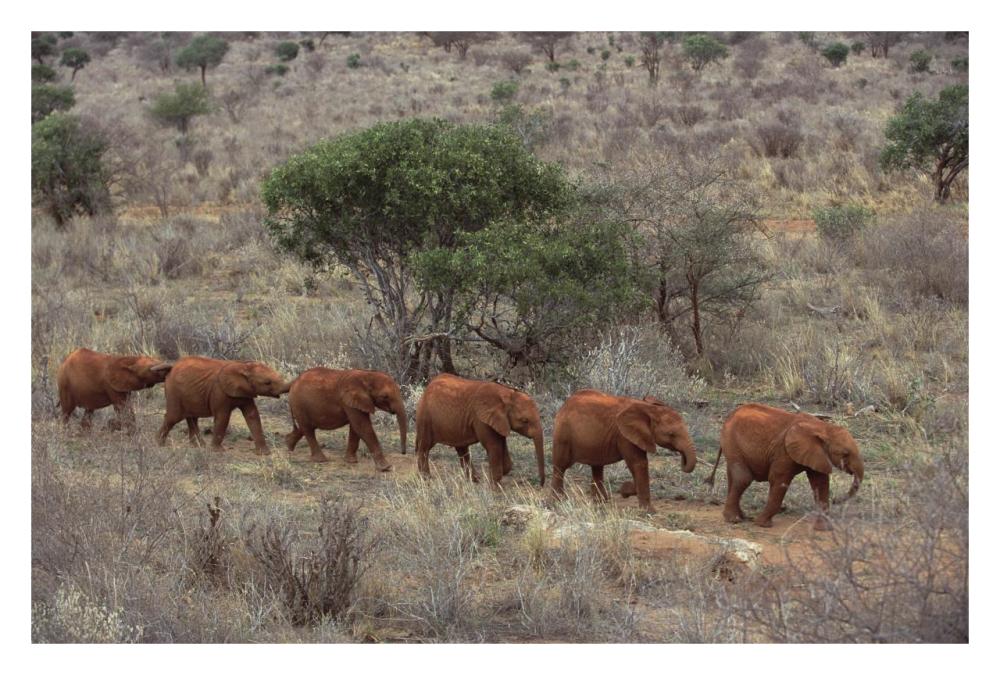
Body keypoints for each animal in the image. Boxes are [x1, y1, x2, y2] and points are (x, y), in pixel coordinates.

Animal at [156, 356, 290, 455]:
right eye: (267, 383)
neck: (243, 366)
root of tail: (172, 366)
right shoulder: (219, 391)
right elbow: (223, 417)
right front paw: (217, 451)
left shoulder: (246, 392)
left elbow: (253, 416)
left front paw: (264, 453)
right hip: (174, 391)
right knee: (173, 417)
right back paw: (159, 444)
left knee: (192, 418)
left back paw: (199, 446)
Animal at [415, 373, 545, 486]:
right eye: (525, 421)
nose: (541, 484)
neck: (507, 393)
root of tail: (427, 387)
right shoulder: (481, 420)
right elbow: (494, 446)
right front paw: (494, 487)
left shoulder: (499, 421)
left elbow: (502, 446)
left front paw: (499, 476)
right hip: (425, 417)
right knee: (424, 447)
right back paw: (426, 479)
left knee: (462, 449)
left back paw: (474, 480)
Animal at [551, 390, 698, 513]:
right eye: (671, 434)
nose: (682, 456)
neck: (648, 408)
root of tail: (565, 404)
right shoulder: (625, 436)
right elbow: (639, 464)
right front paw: (648, 511)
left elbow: (638, 465)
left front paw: (626, 490)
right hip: (563, 434)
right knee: (560, 466)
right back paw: (558, 502)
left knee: (597, 467)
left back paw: (601, 502)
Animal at [705, 403, 864, 531]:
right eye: (845, 454)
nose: (836, 500)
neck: (824, 427)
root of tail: (730, 415)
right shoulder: (784, 452)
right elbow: (778, 481)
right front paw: (762, 524)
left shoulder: (816, 454)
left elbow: (821, 484)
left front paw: (824, 529)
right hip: (732, 442)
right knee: (743, 478)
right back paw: (734, 520)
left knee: (733, 478)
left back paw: (741, 517)